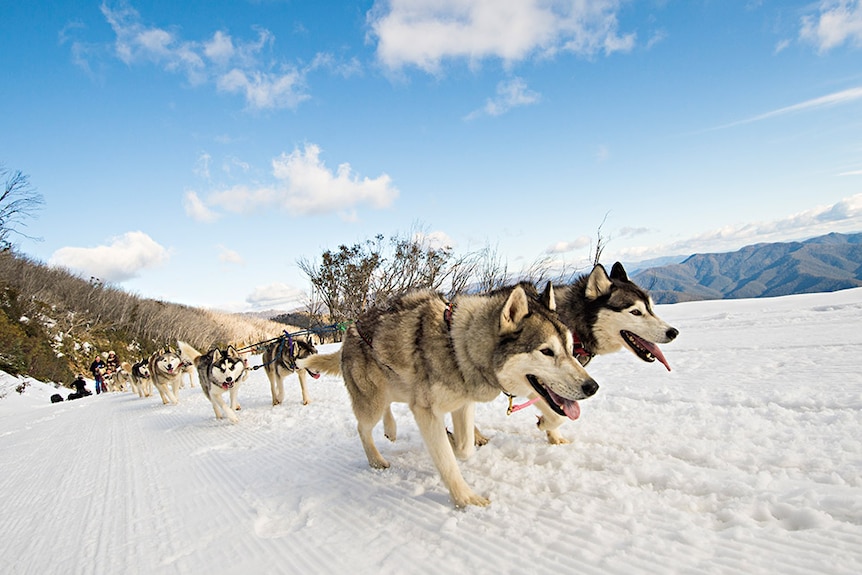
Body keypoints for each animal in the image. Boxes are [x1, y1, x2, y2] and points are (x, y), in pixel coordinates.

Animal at [296, 284, 600, 508]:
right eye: (547, 351)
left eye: (570, 348)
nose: (592, 387)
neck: (457, 347)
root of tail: (349, 332)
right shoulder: (426, 410)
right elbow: (447, 462)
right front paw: (465, 499)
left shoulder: (462, 405)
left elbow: (464, 449)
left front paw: (454, 442)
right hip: (372, 402)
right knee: (362, 427)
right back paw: (376, 459)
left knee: (389, 409)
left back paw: (392, 428)